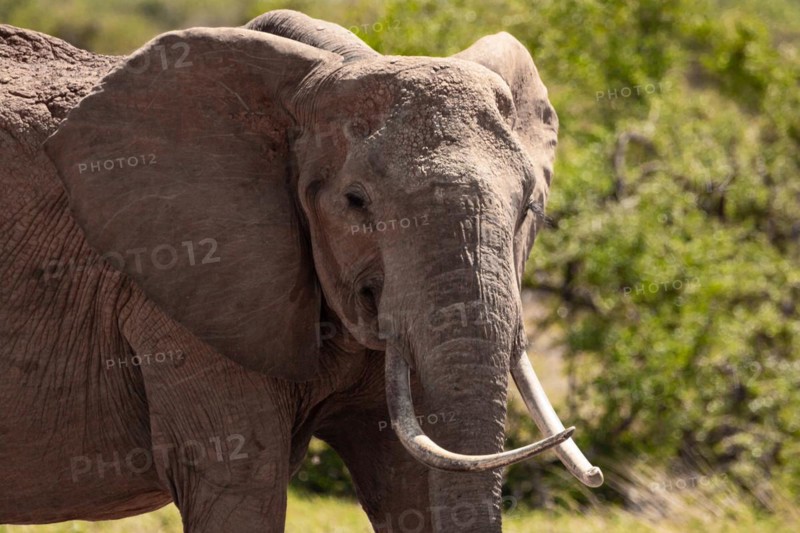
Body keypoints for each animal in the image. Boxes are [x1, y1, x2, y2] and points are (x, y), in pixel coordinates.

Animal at [0, 9, 602, 532]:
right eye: (355, 202)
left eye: (528, 208)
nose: (592, 471)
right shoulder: (183, 285)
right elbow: (239, 485)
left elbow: (414, 481)